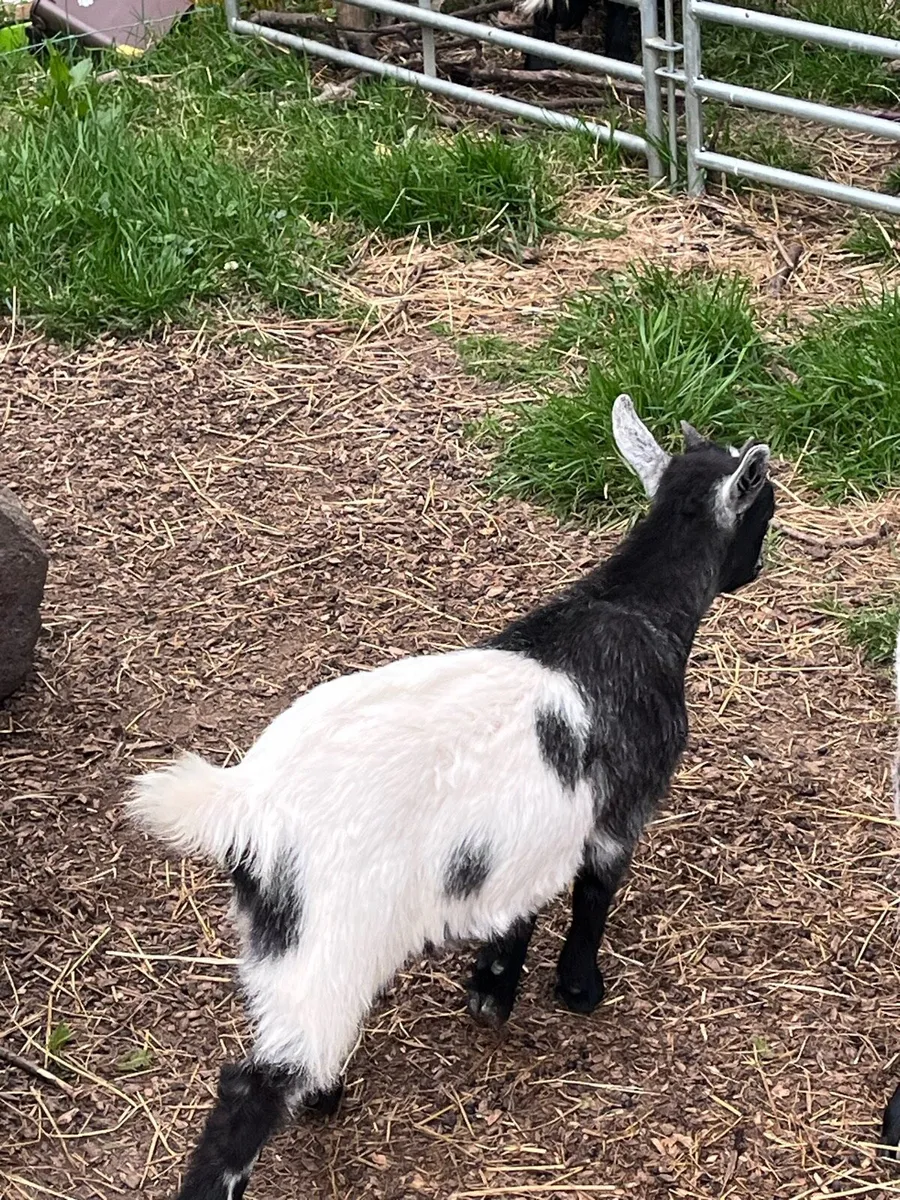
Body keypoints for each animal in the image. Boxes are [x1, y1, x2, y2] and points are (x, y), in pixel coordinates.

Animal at [127, 395, 775, 1200]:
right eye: (766, 508)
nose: (755, 569)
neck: (631, 608)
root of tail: (250, 806)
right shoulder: (622, 808)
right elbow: (594, 892)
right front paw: (577, 989)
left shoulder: (525, 833)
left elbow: (519, 905)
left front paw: (493, 986)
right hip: (332, 936)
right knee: (253, 1086)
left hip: (278, 936)